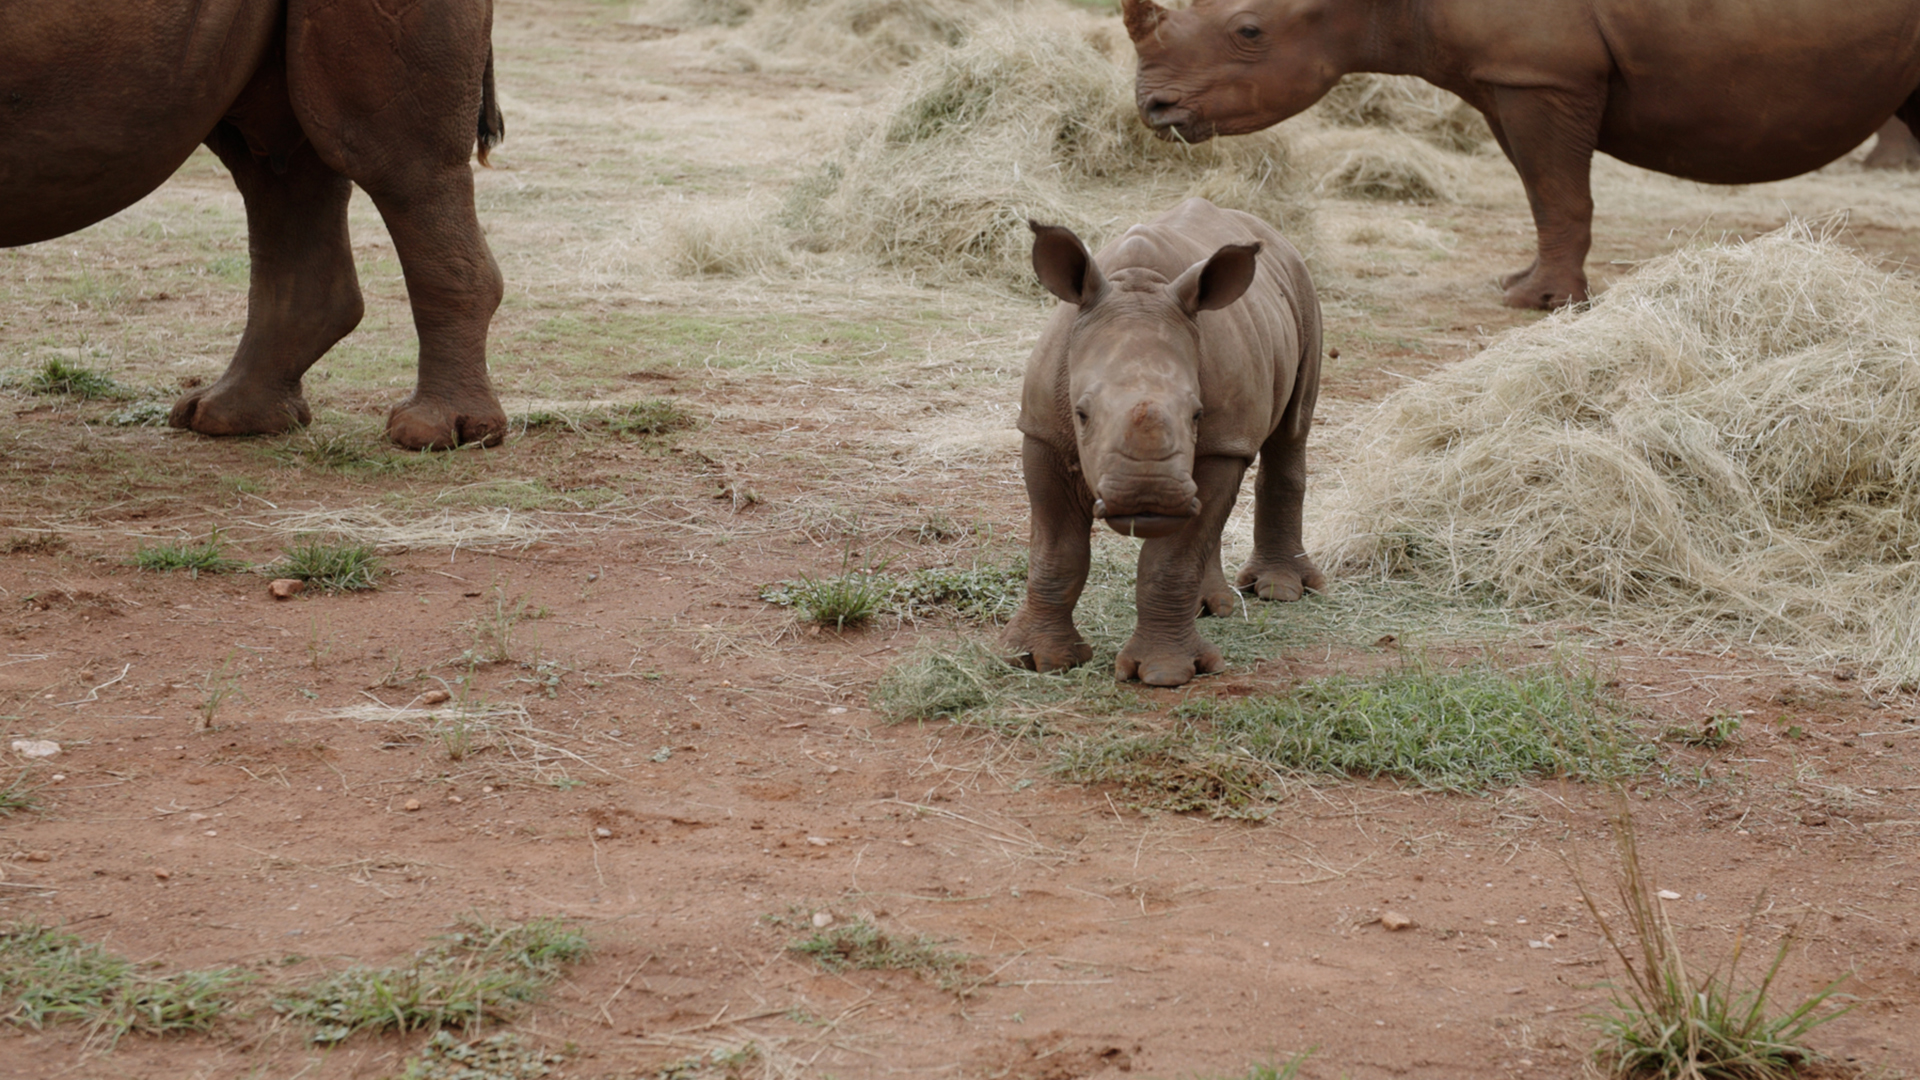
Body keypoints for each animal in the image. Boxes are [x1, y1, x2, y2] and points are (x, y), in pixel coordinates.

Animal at [1006, 197, 1320, 684]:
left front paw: (1166, 674)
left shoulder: (1220, 442)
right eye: (1081, 414)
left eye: (1197, 414)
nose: (1147, 493)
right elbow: (1056, 550)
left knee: (1291, 431)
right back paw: (1210, 608)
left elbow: (1172, 559)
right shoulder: (1043, 432)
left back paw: (1278, 591)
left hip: (1303, 287)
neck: (1139, 283)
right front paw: (1037, 660)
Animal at [1121, 0, 1920, 307]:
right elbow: (1544, 193)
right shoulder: (1506, 78)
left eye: (1249, 31)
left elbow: (1559, 191)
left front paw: (1538, 304)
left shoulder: (1542, 74)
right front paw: (1523, 284)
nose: (1152, 109)